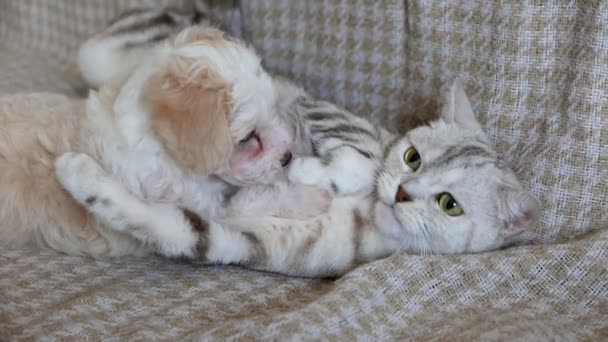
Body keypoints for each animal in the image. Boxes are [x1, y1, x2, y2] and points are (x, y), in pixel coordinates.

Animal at [55, 81, 540, 278]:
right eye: (412, 158)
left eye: (449, 204)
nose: (402, 191)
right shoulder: (327, 112)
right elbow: (361, 155)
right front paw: (310, 168)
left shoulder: (241, 241)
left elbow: (160, 221)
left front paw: (78, 173)